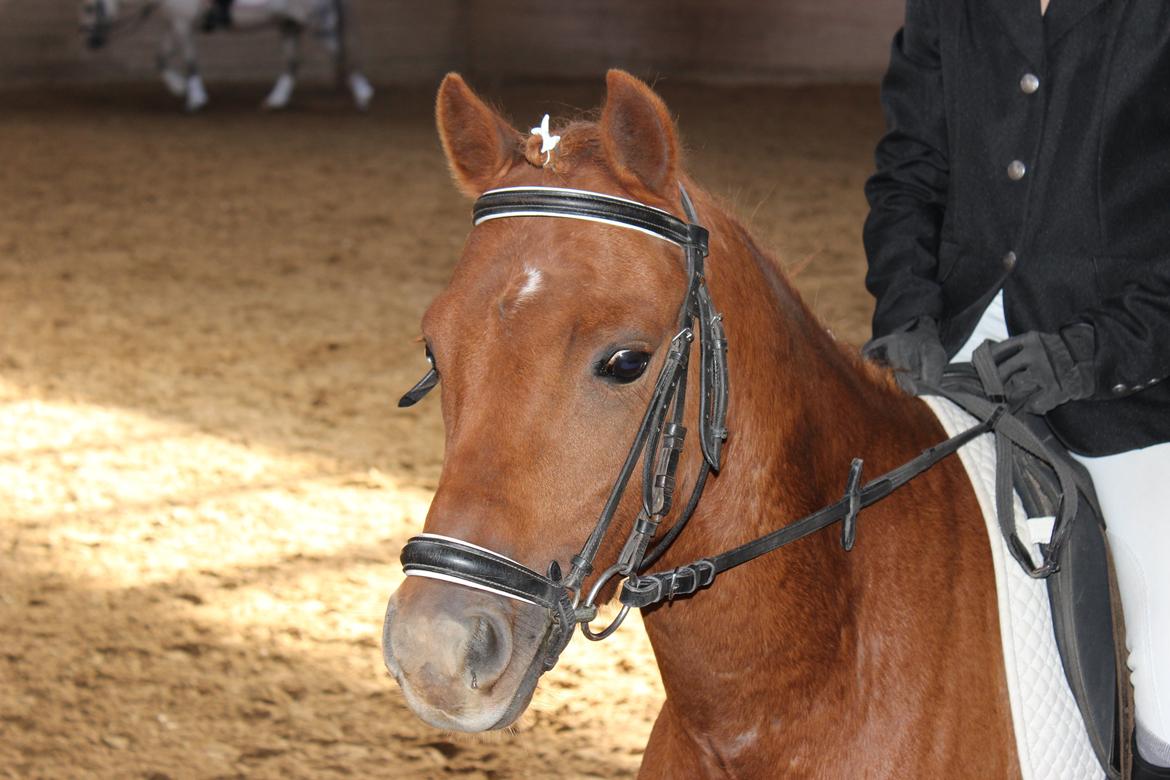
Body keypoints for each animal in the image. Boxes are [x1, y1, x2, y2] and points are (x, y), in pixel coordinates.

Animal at [80, 0, 372, 110]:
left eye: (88, 7)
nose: (90, 42)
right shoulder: (176, 24)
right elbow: (161, 58)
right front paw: (180, 88)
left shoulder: (183, 24)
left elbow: (191, 62)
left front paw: (195, 98)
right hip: (289, 25)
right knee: (293, 63)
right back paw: (276, 100)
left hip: (317, 22)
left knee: (341, 54)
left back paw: (363, 95)